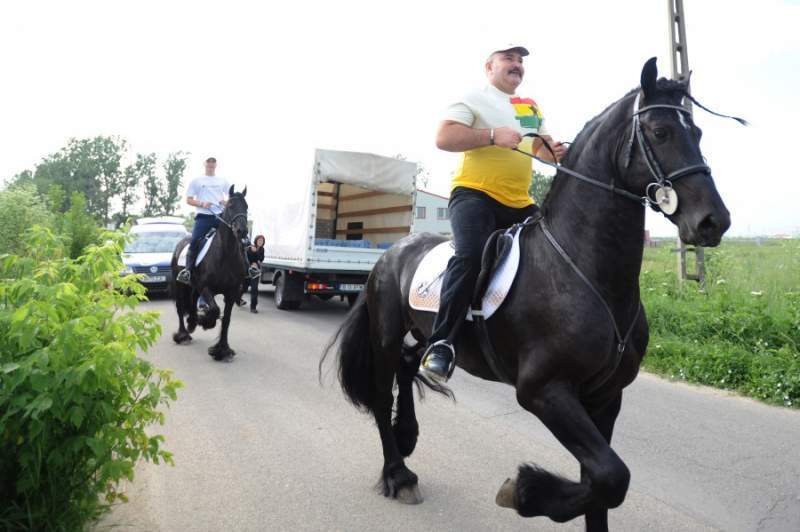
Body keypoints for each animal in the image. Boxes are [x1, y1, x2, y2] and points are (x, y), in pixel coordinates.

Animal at [173, 184, 248, 362]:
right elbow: (215, 310)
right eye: (230, 205)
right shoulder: (206, 288)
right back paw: (183, 335)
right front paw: (207, 322)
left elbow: (226, 319)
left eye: (246, 207)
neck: (226, 254)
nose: (242, 231)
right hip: (180, 285)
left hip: (193, 286)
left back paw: (192, 322)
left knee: (192, 301)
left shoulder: (231, 292)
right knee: (180, 307)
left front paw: (222, 350)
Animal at [322, 59, 736, 532]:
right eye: (661, 131)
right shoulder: (543, 390)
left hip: (419, 335)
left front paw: (535, 492)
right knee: (381, 392)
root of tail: (391, 253)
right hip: (387, 338)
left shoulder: (607, 396)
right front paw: (525, 491)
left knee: (410, 368)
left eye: (697, 132)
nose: (713, 221)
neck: (582, 269)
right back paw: (398, 474)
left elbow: (602, 488)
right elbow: (612, 477)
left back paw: (407, 435)